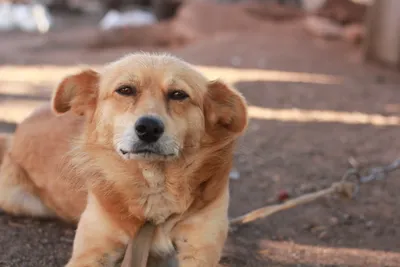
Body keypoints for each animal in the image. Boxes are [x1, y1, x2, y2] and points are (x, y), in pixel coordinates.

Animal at [0, 53, 247, 266]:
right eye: (125, 90)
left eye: (178, 94)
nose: (149, 127)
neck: (154, 185)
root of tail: (17, 131)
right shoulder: (91, 252)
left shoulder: (199, 250)